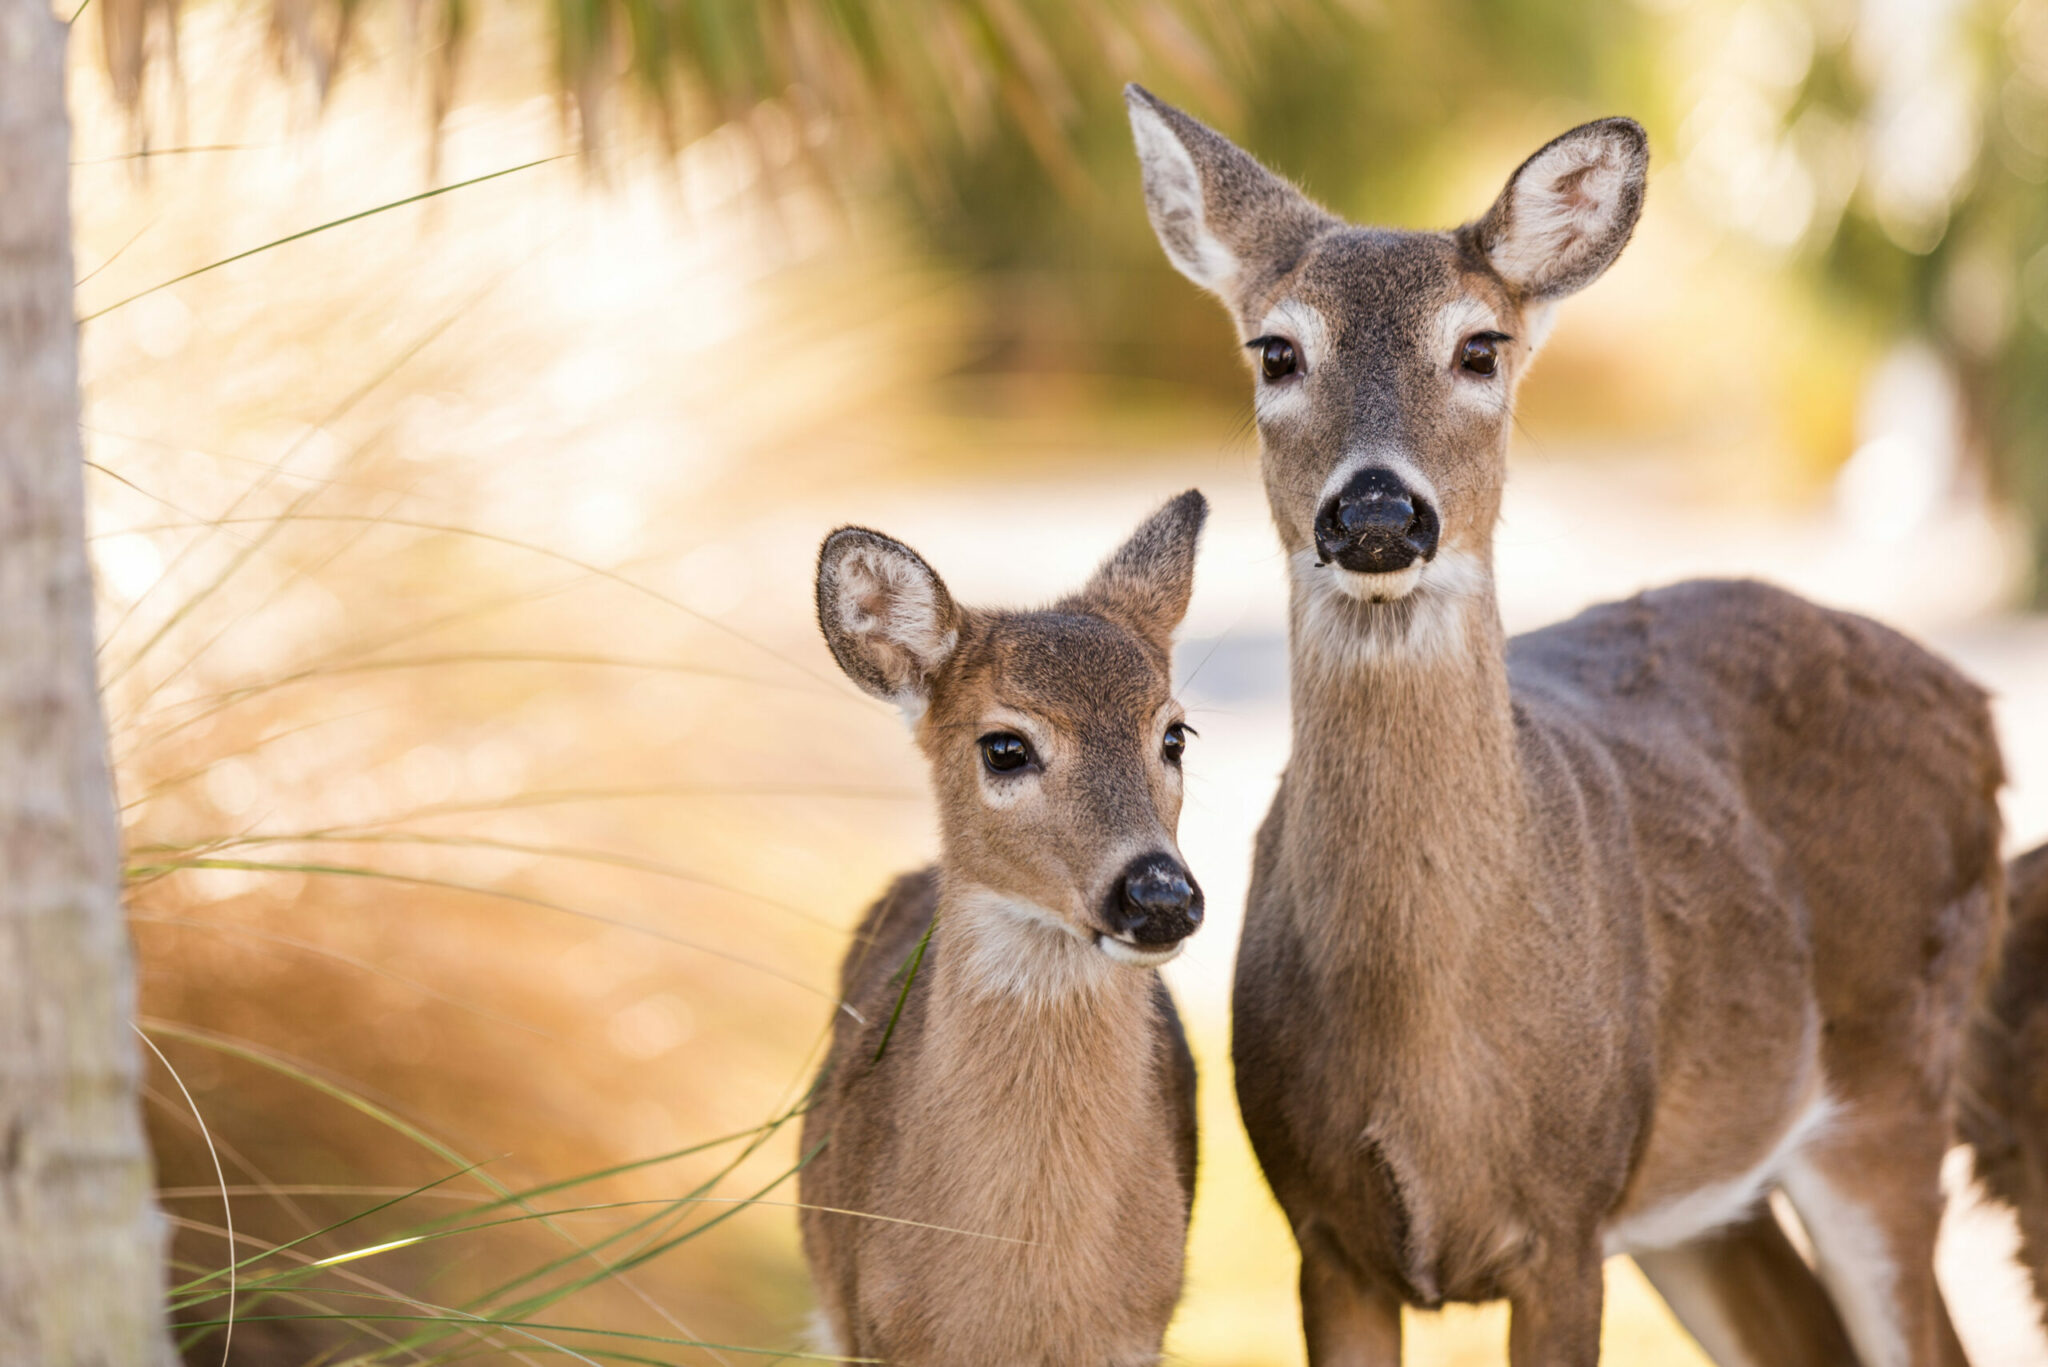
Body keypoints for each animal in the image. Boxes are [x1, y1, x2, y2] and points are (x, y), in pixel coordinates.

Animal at [1122, 90, 1998, 1360]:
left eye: (1479, 346)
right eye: (1275, 350)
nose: (1375, 509)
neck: (1425, 1042)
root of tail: (1978, 709)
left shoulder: (1567, 1218)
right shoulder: (1322, 1232)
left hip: (1889, 1095)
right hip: (1705, 1202)